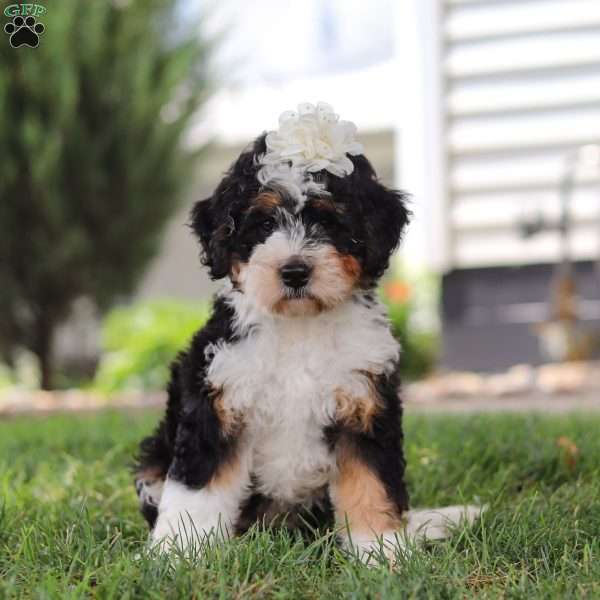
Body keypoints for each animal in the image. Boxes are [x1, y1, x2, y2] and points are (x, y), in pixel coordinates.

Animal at [136, 102, 482, 564]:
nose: (295, 271)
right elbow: (198, 488)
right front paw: (177, 552)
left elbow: (371, 483)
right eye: (264, 223)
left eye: (329, 222)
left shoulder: (364, 405)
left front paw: (382, 551)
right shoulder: (217, 402)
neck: (299, 325)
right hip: (152, 462)